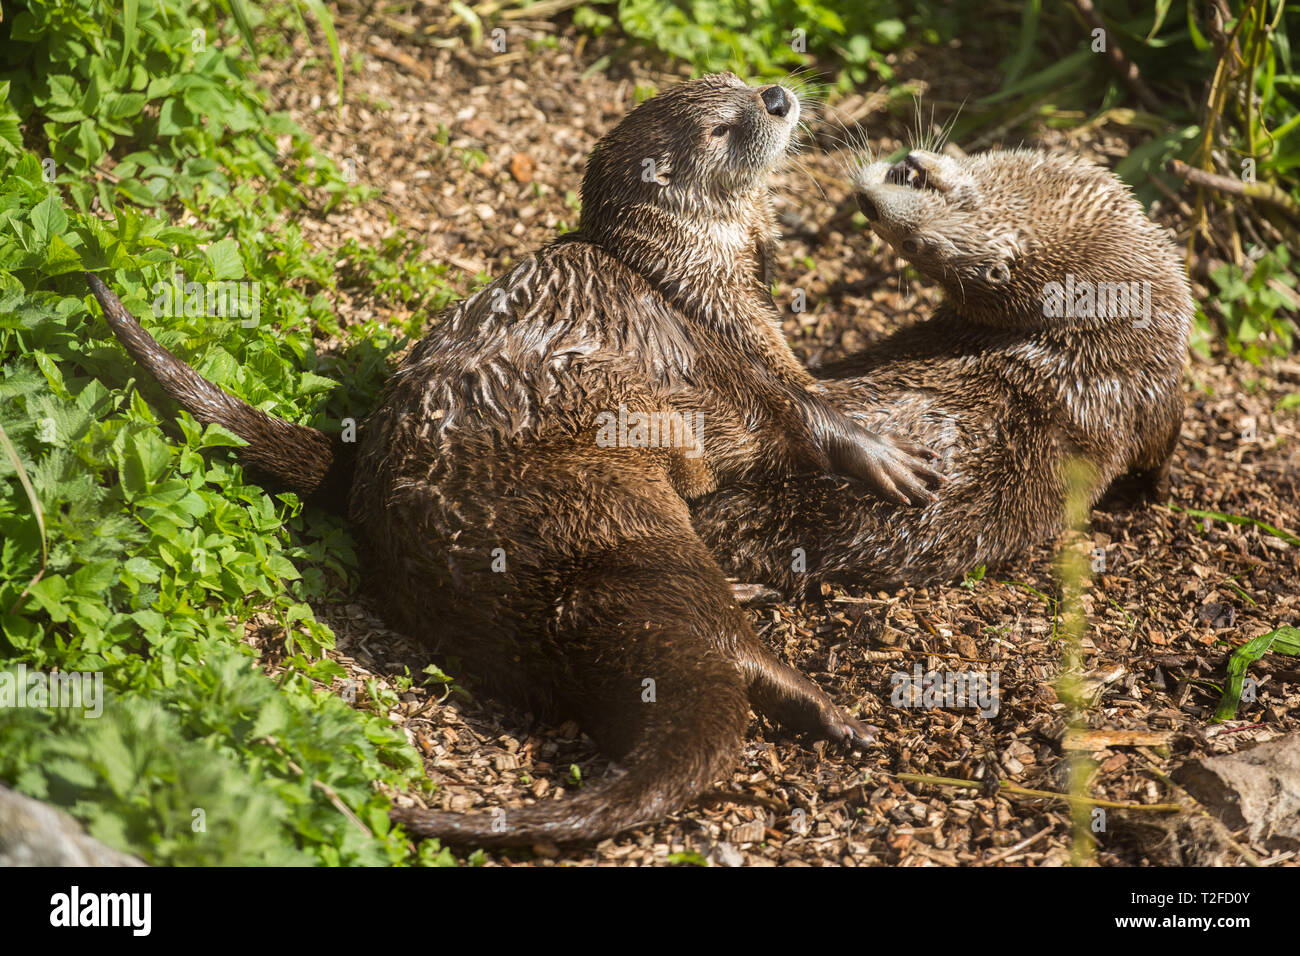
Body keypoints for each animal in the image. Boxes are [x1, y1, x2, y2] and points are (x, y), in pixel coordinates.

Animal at [87, 74, 943, 848]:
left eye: (736, 80)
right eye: (720, 128)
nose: (776, 98)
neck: (690, 270)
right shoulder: (722, 343)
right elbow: (803, 413)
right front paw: (888, 458)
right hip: (625, 528)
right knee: (731, 651)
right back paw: (833, 711)